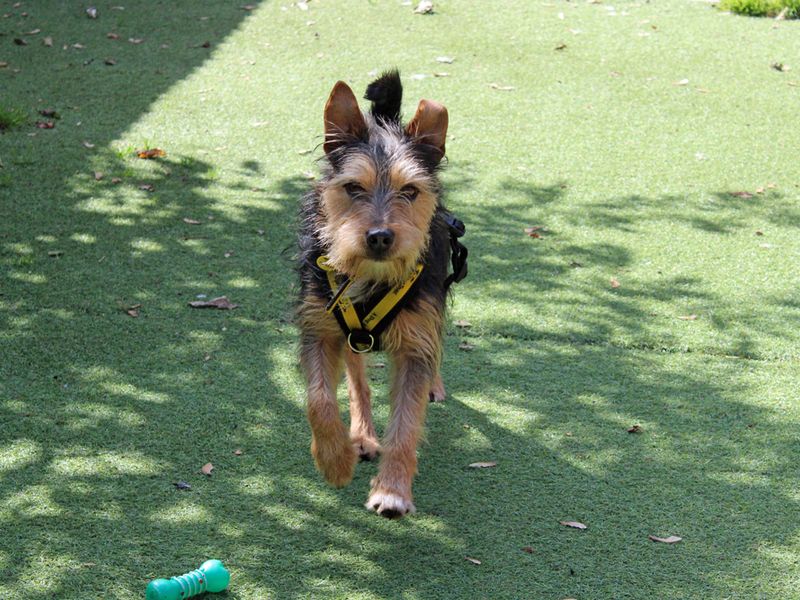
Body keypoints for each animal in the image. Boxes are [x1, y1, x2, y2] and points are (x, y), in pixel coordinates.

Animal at [296, 70, 466, 516]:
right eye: (354, 187)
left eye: (410, 191)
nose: (379, 236)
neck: (371, 278)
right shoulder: (320, 326)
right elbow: (319, 400)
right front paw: (335, 461)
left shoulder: (415, 340)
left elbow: (406, 422)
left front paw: (392, 490)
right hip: (352, 336)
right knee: (358, 382)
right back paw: (360, 436)